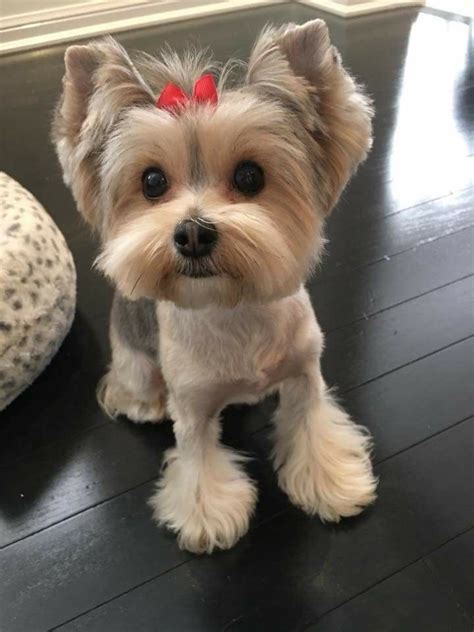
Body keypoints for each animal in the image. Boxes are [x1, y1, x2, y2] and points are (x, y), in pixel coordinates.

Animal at [51, 19, 378, 552]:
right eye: (152, 182)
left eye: (250, 176)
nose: (192, 233)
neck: (233, 305)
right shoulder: (192, 405)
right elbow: (198, 456)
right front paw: (209, 516)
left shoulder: (305, 372)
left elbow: (312, 423)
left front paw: (331, 481)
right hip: (136, 363)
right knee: (132, 386)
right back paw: (142, 402)